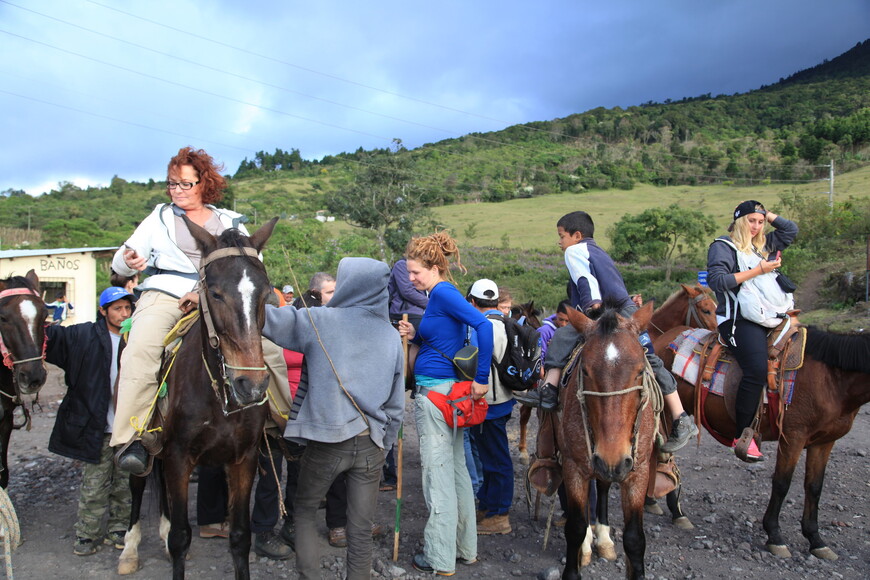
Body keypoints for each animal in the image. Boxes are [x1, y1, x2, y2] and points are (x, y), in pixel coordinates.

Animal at [119, 218, 276, 580]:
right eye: (215, 293)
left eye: (265, 293)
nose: (251, 385)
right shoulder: (179, 457)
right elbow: (181, 537)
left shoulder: (243, 459)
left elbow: (240, 537)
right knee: (137, 482)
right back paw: (130, 549)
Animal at [560, 302, 660, 576]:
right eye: (585, 370)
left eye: (640, 371)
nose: (612, 458)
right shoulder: (573, 467)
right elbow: (575, 528)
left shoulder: (638, 471)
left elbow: (635, 538)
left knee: (603, 486)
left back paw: (603, 539)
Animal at [656, 324, 870, 560]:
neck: (831, 379)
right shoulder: (793, 437)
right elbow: (782, 484)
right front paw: (775, 536)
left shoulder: (823, 442)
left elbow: (814, 487)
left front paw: (816, 540)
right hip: (668, 414)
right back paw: (675, 511)